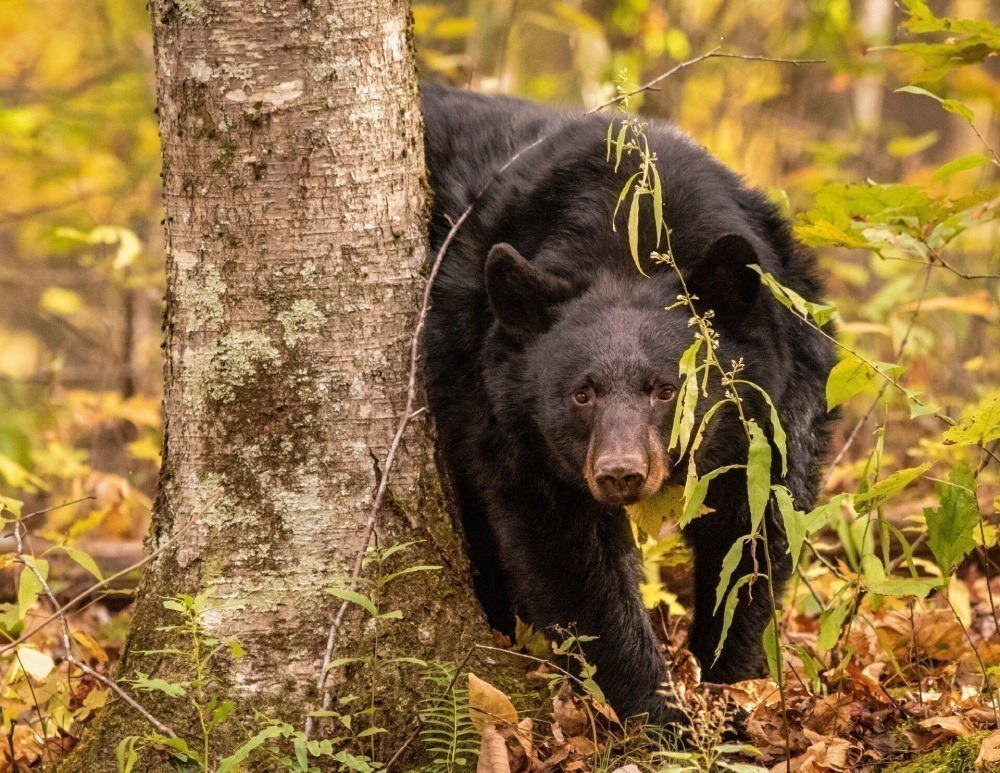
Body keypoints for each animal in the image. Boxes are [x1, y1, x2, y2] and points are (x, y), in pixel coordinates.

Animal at [418, 86, 832, 724]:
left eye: (666, 389)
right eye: (581, 393)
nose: (620, 473)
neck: (624, 240)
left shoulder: (778, 399)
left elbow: (754, 531)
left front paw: (729, 681)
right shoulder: (499, 411)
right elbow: (571, 557)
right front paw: (661, 714)